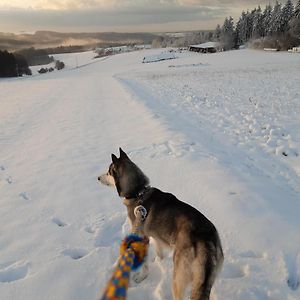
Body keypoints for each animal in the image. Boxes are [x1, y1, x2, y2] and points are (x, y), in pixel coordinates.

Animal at [98, 148, 223, 300]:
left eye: (108, 172)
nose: (98, 178)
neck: (138, 192)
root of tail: (206, 241)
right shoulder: (155, 236)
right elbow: (158, 250)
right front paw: (158, 260)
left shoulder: (142, 237)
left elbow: (145, 264)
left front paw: (142, 276)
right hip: (207, 279)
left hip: (178, 278)